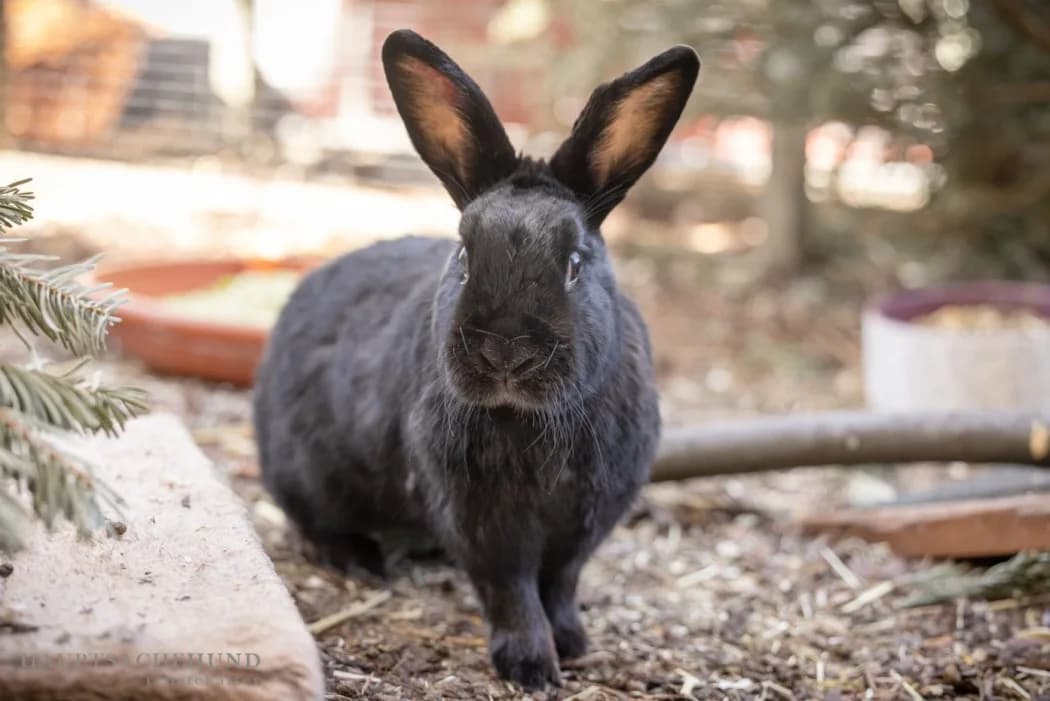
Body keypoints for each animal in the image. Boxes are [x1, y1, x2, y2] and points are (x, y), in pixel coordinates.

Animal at [253, 28, 699, 690]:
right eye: (464, 255)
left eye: (575, 263)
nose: (505, 349)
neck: (531, 422)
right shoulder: (483, 519)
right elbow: (512, 589)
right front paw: (531, 665)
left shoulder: (583, 522)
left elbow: (560, 583)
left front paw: (574, 643)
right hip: (305, 475)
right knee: (311, 517)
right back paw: (353, 558)